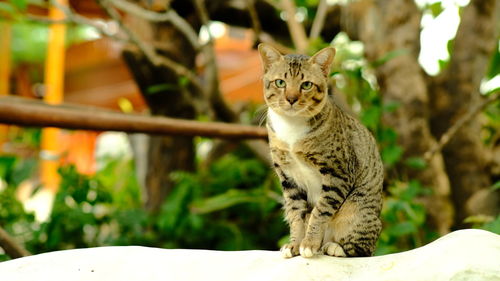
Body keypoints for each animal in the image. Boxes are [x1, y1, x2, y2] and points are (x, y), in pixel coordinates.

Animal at [258, 42, 382, 258]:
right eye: (280, 82)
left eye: (306, 85)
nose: (291, 98)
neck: (292, 128)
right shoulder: (288, 178)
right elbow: (296, 214)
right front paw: (294, 244)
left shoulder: (337, 173)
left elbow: (320, 210)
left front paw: (309, 243)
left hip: (359, 212)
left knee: (364, 248)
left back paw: (334, 247)